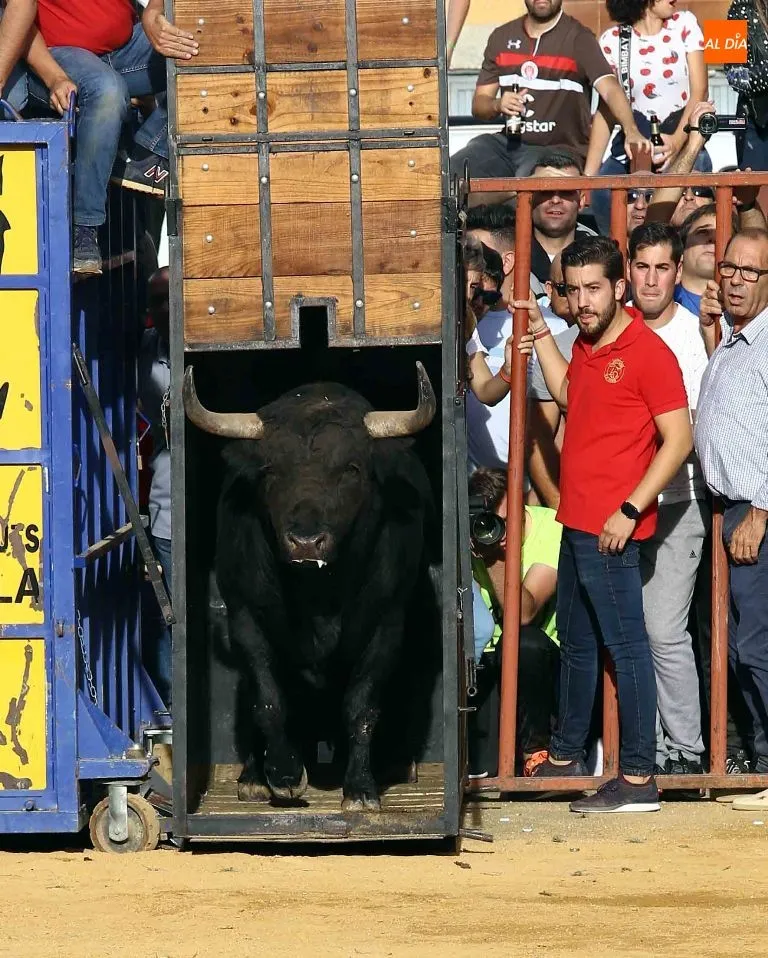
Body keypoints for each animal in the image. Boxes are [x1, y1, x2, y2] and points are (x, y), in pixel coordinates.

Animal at [183, 363, 438, 811]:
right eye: (270, 470)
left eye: (351, 469)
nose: (305, 541)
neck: (319, 595)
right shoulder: (245, 617)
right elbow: (268, 700)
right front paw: (283, 775)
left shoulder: (386, 623)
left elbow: (362, 706)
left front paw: (360, 788)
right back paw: (253, 775)